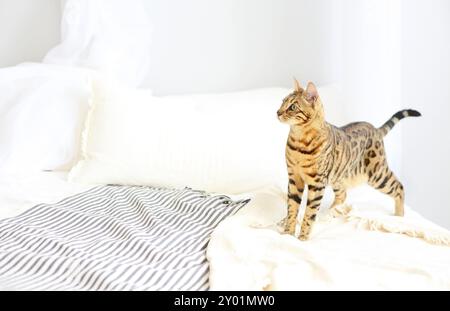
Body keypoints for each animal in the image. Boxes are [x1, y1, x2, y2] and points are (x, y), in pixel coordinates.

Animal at [278, 80, 422, 241]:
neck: (299, 142)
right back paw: (330, 211)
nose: (278, 112)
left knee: (399, 186)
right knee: (343, 194)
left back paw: (399, 215)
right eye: (282, 102)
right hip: (338, 176)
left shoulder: (317, 184)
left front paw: (302, 237)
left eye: (293, 107)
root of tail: (376, 129)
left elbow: (309, 213)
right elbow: (292, 208)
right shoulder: (294, 179)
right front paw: (287, 232)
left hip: (377, 174)